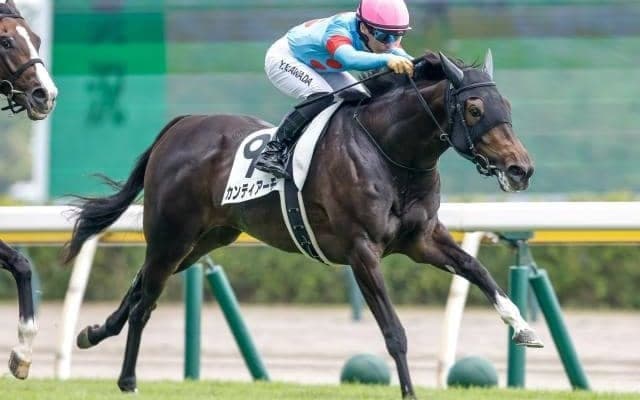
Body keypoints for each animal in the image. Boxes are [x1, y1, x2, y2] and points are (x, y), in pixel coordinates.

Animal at [64, 50, 541, 398]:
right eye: (475, 108)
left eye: (505, 105)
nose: (521, 169)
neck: (390, 151)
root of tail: (181, 126)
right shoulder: (361, 251)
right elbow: (394, 332)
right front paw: (408, 392)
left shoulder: (422, 240)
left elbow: (478, 270)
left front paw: (523, 328)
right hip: (172, 234)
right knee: (146, 301)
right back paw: (128, 381)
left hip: (204, 239)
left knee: (141, 283)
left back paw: (93, 332)